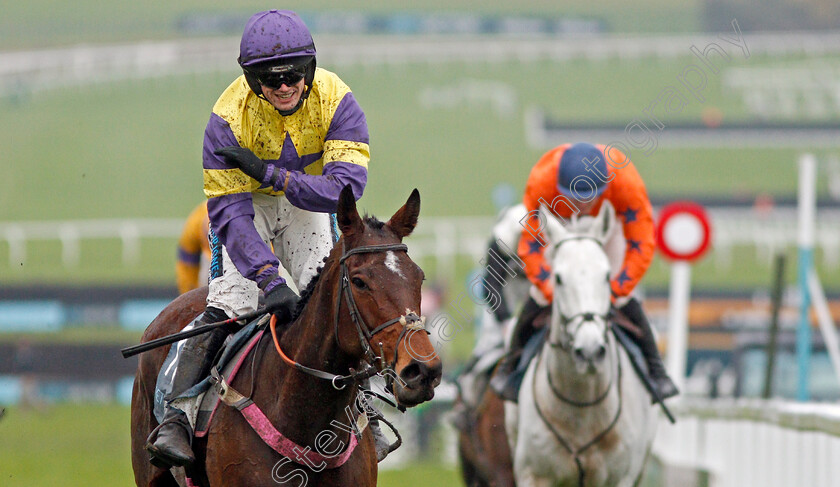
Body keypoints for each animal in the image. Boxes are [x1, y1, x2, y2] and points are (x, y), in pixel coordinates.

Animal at [506, 203, 656, 487]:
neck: (582, 405)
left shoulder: (620, 478)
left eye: (607, 275)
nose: (590, 351)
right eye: (559, 278)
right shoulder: (534, 475)